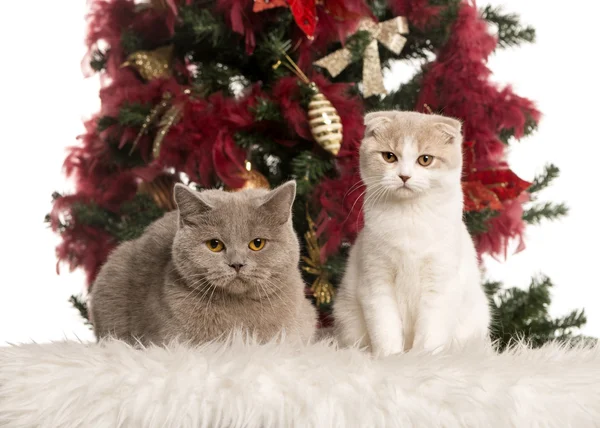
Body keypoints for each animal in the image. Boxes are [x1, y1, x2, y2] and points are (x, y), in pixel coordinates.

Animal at [336, 111, 490, 358]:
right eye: (389, 156)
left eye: (425, 159)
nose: (404, 176)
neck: (409, 216)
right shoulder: (377, 281)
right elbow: (385, 328)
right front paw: (390, 358)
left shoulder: (439, 283)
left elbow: (430, 333)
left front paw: (420, 359)